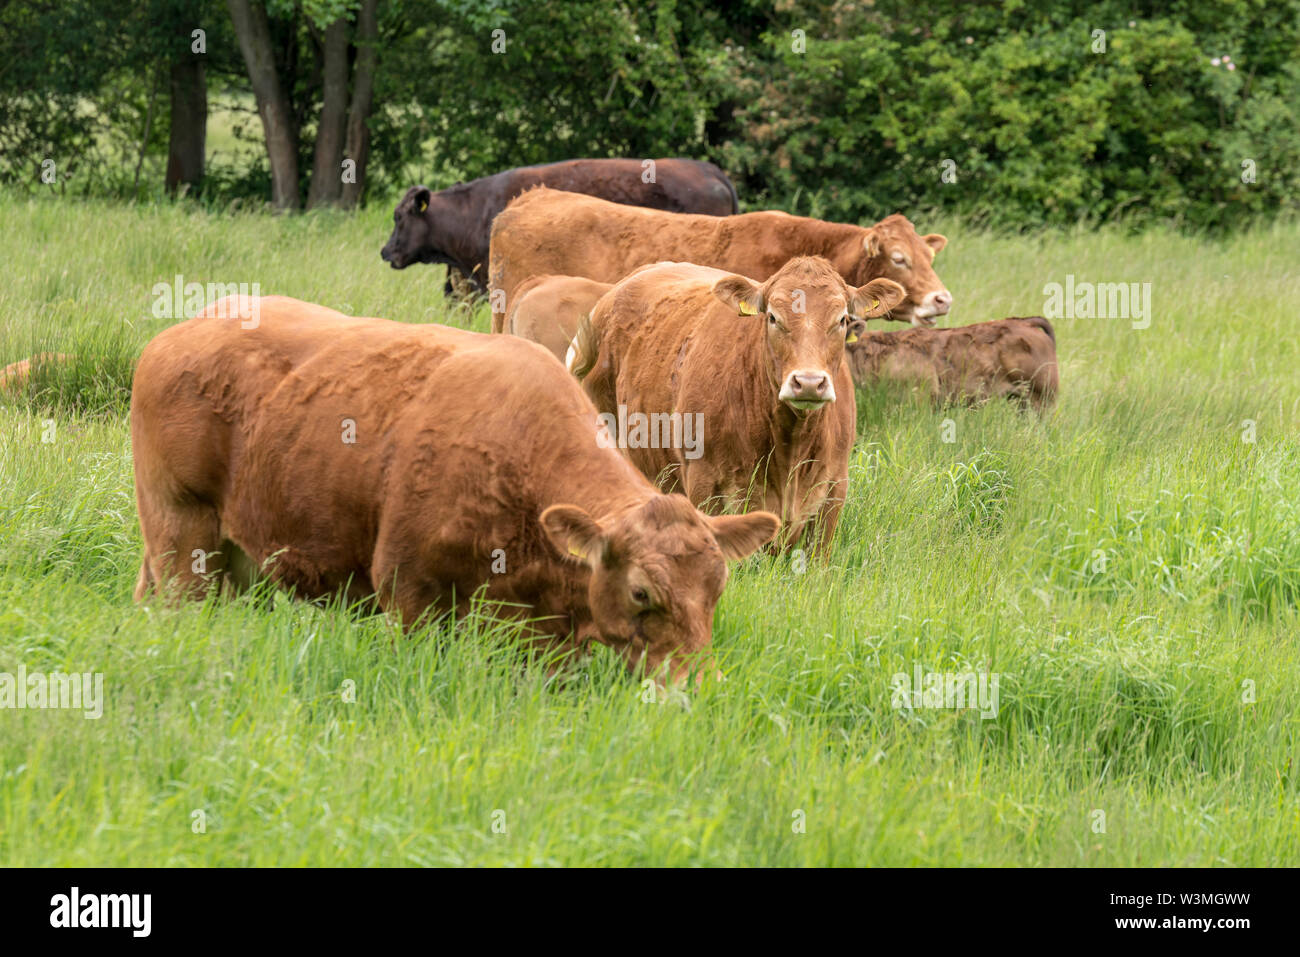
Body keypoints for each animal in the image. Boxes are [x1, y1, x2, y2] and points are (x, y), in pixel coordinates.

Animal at [129, 295, 780, 686]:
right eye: (643, 592)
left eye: (717, 589)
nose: (694, 686)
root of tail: (182, 330)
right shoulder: (409, 590)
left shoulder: (547, 635)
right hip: (181, 536)